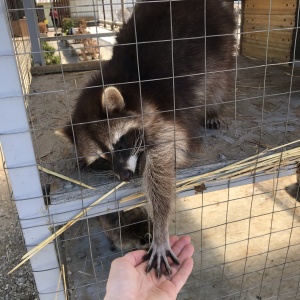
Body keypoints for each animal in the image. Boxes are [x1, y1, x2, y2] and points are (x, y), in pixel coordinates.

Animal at [58, 0, 237, 276]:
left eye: (120, 142)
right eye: (101, 159)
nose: (124, 176)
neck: (127, 86)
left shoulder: (162, 118)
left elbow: (162, 166)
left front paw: (161, 228)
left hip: (219, 42)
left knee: (218, 81)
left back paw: (213, 109)